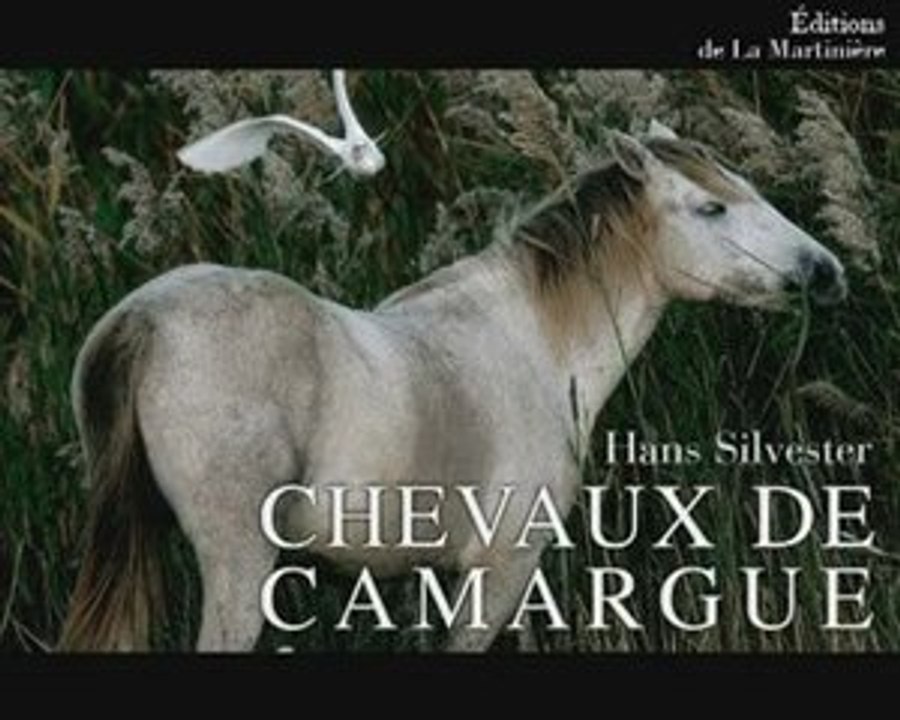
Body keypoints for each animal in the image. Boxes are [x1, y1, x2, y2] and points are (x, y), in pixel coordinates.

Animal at [59, 123, 847, 652]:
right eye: (712, 208)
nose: (825, 271)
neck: (539, 344)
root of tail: (141, 319)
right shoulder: (497, 575)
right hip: (237, 566)